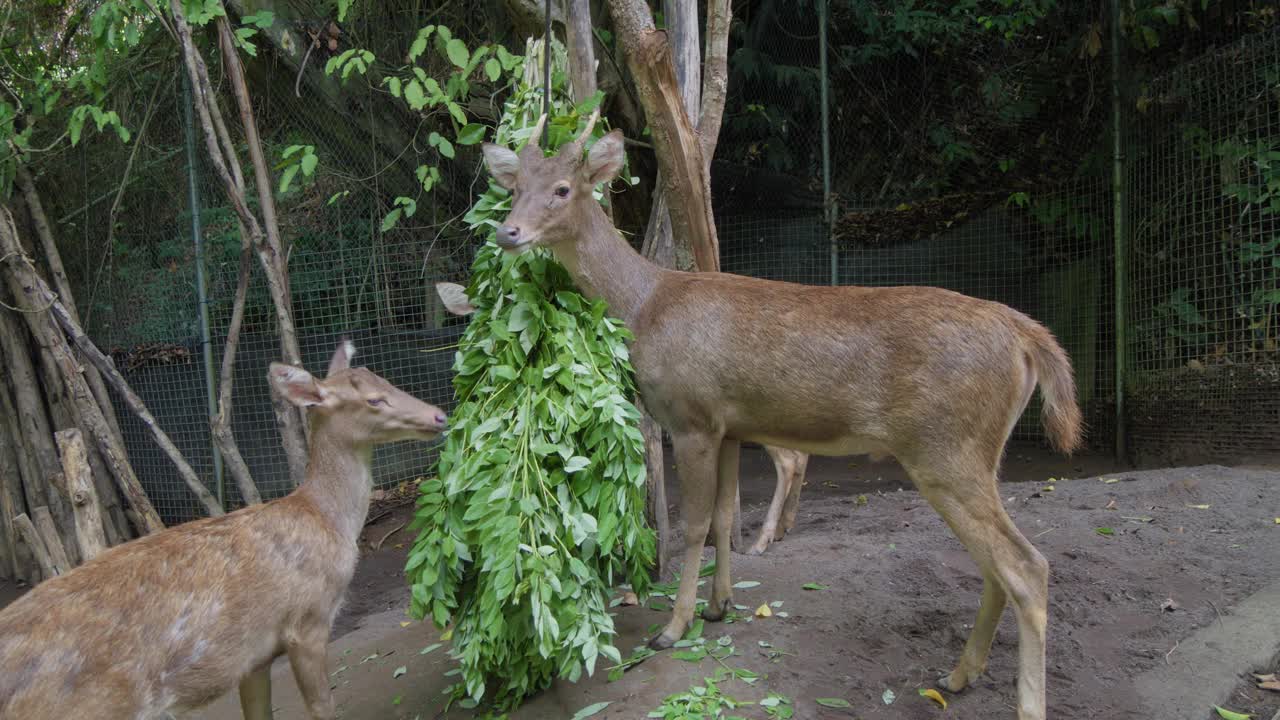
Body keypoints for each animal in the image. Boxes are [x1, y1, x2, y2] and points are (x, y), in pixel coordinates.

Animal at [0, 340, 450, 717]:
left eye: (385, 379)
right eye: (373, 399)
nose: (439, 415)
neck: (326, 520)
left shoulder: (252, 657)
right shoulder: (307, 620)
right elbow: (323, 707)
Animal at [478, 112, 1080, 717]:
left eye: (562, 189)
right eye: (515, 186)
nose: (508, 233)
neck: (645, 307)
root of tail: (1027, 337)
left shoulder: (691, 417)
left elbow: (694, 525)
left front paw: (673, 627)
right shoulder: (728, 426)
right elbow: (724, 517)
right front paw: (719, 605)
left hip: (946, 449)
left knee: (1027, 567)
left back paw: (1021, 700)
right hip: (973, 452)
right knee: (998, 566)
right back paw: (957, 677)